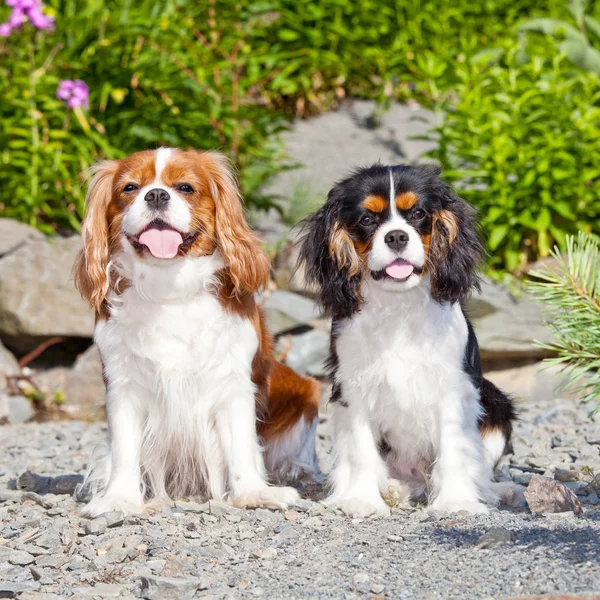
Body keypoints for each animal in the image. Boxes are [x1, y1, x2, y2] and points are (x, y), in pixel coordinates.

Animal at [74, 148, 318, 516]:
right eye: (129, 188)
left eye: (186, 188)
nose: (156, 195)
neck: (168, 286)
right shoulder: (123, 386)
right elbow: (125, 448)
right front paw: (119, 498)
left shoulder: (233, 383)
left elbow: (242, 446)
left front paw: (254, 494)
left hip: (304, 390)